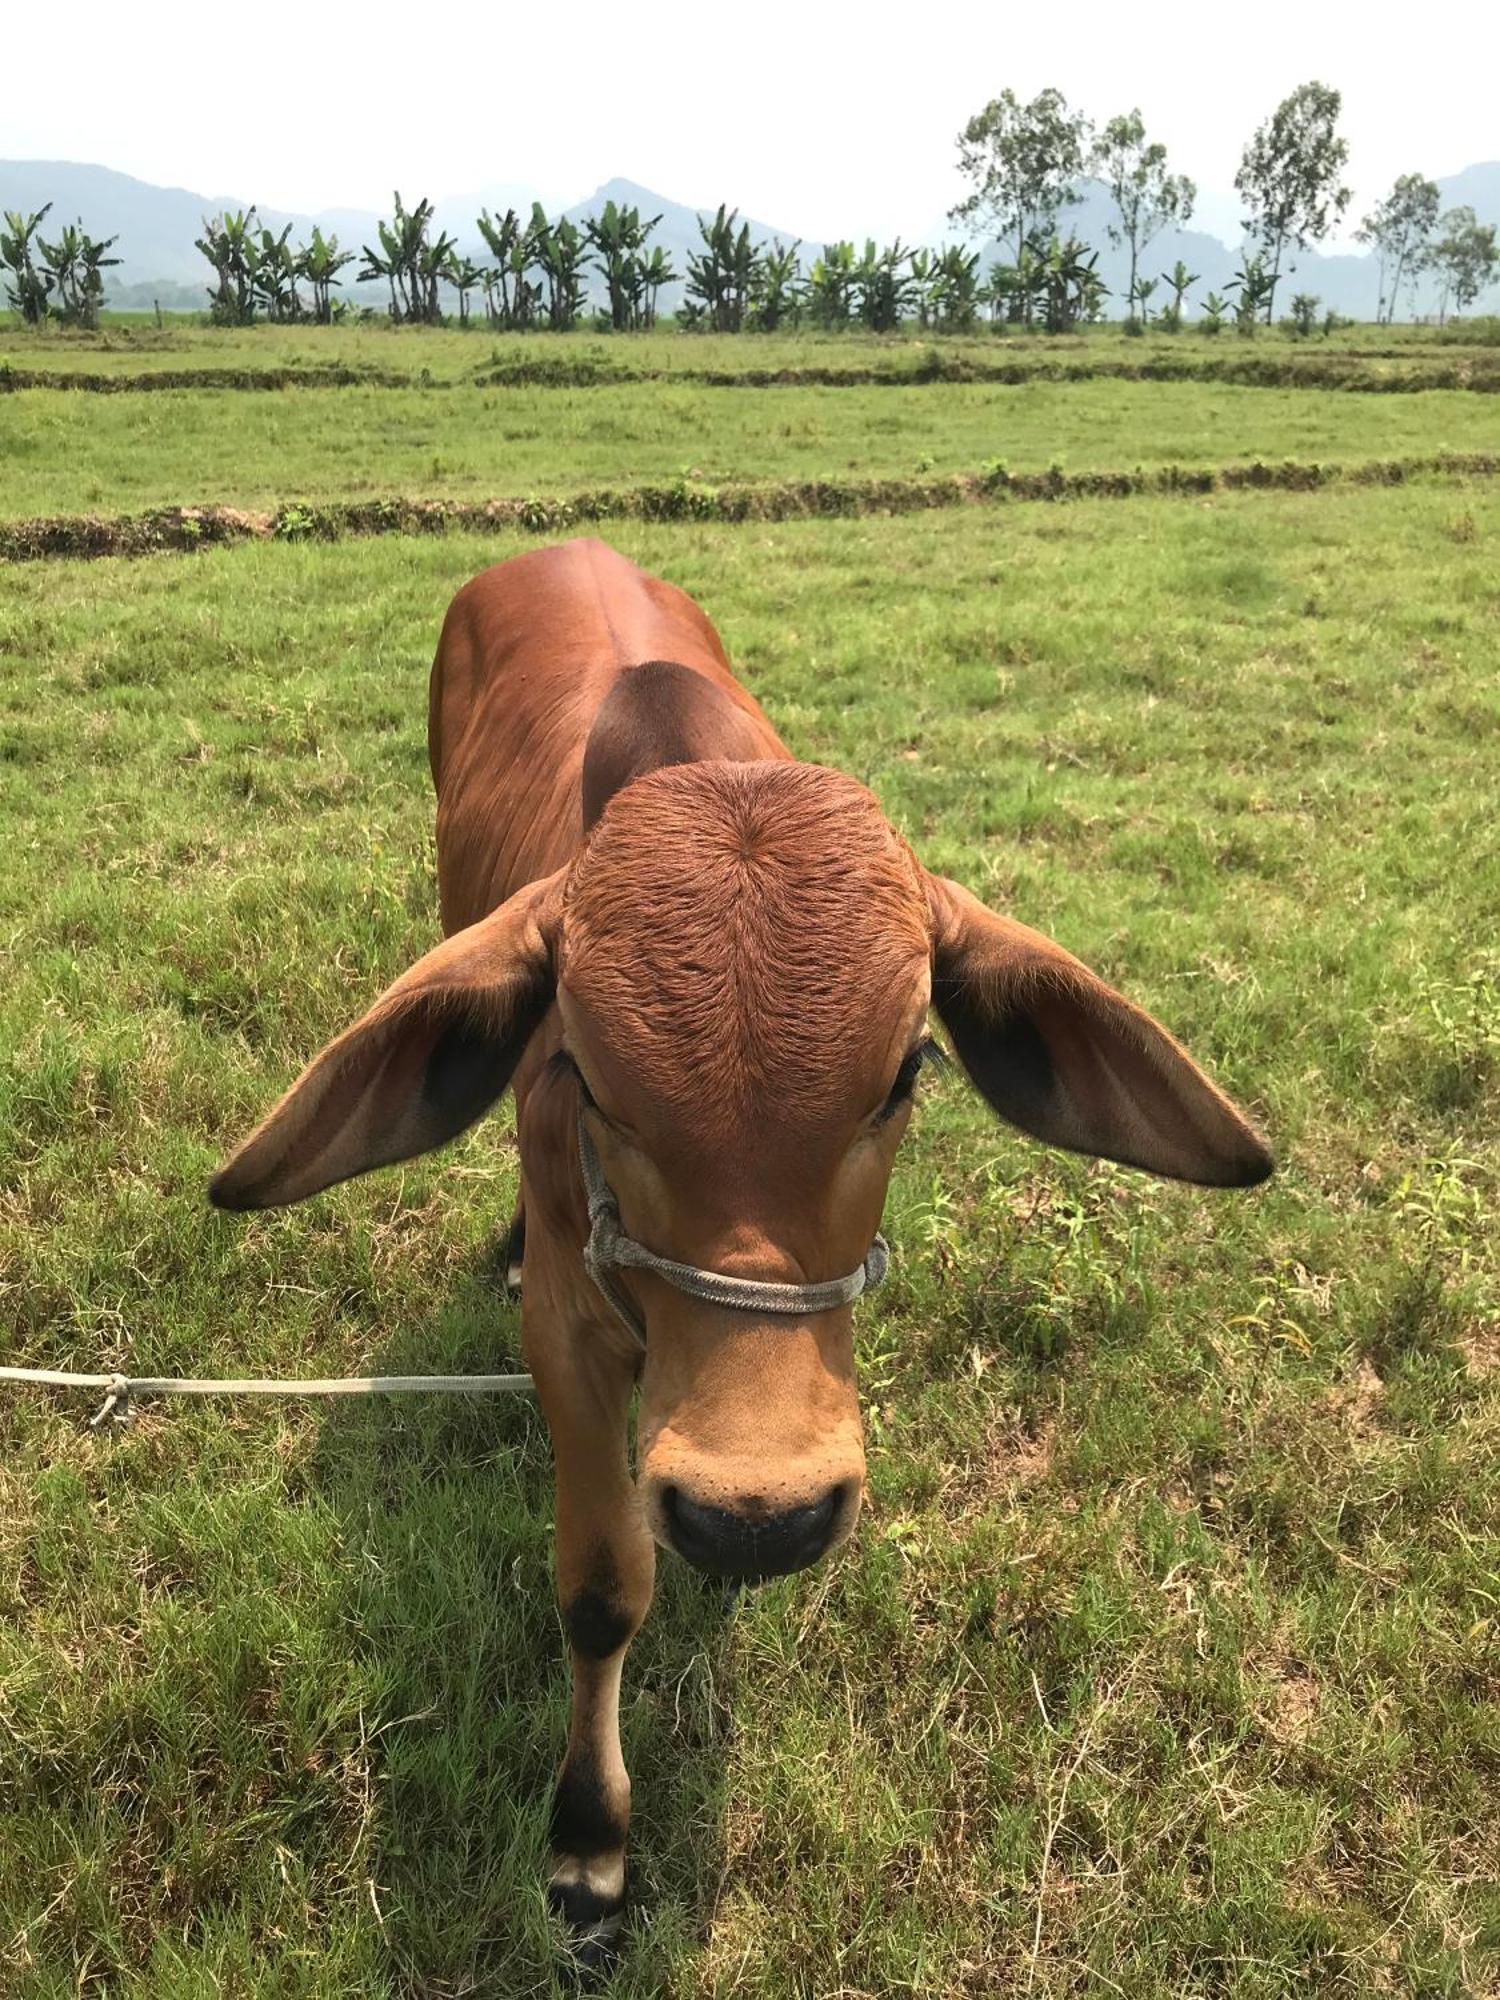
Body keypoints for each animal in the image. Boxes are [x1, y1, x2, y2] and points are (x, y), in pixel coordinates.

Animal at [209, 532, 1272, 1952]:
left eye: (907, 1070)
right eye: (583, 1075)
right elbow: (603, 1579)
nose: (753, 1514)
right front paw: (592, 1848)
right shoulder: (568, 1332)